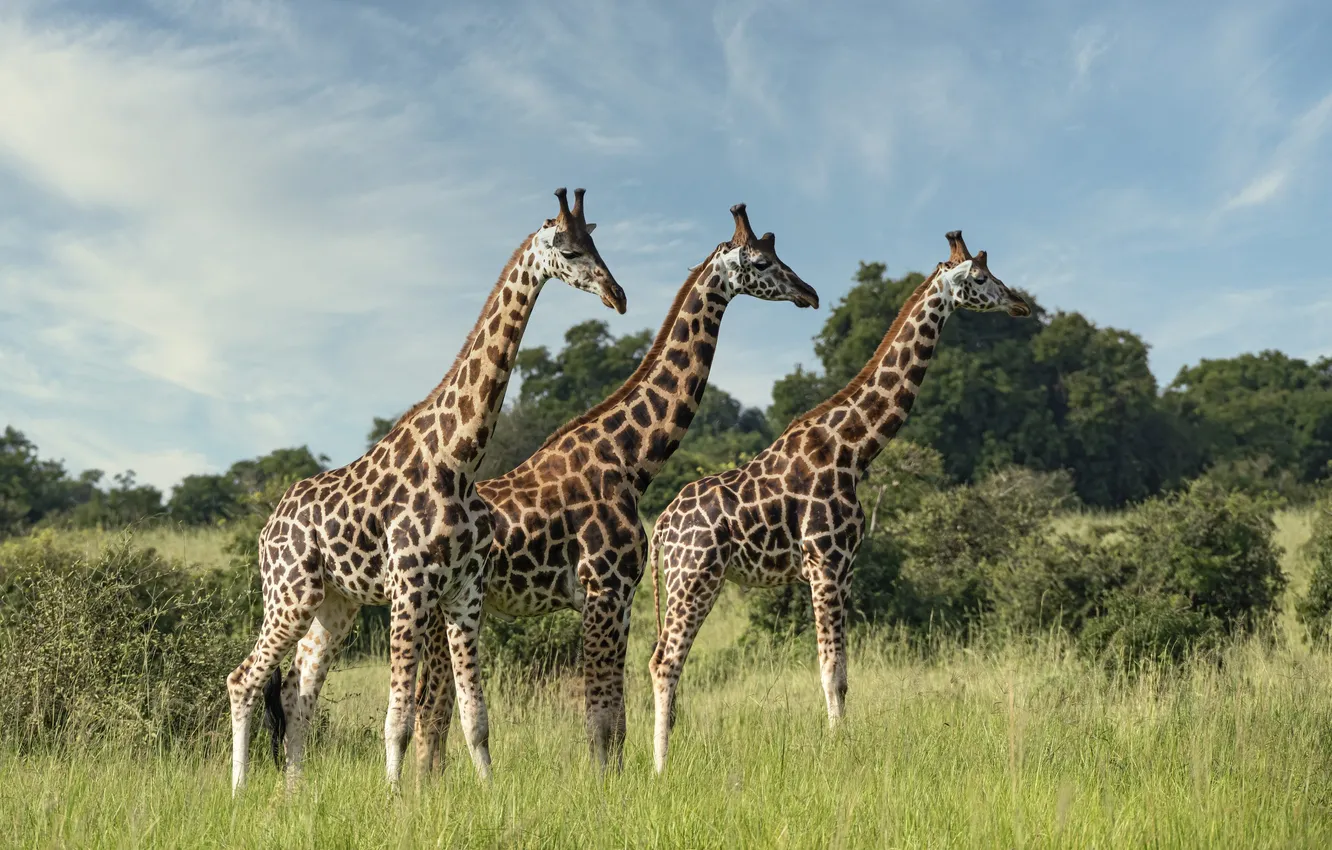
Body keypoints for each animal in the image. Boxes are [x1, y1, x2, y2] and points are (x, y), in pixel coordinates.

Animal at [227, 188, 626, 795]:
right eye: (568, 249)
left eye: (596, 243)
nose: (617, 295)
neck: (458, 459)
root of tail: (268, 525)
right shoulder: (410, 587)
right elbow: (399, 718)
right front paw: (395, 799)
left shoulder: (465, 593)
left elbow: (475, 716)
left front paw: (489, 793)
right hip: (288, 592)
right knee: (243, 679)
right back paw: (240, 790)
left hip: (334, 604)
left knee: (297, 690)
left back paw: (292, 793)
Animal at [411, 204, 820, 773]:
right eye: (762, 261)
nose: (810, 292)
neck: (631, 460)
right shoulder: (603, 591)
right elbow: (599, 721)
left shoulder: (621, 599)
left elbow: (617, 722)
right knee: (428, 715)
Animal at [647, 230, 1031, 772]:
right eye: (979, 277)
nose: (1019, 303)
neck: (854, 447)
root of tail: (661, 527)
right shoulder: (824, 563)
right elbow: (828, 669)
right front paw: (835, 755)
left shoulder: (847, 566)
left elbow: (845, 673)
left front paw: (843, 745)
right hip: (693, 576)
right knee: (664, 661)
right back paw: (660, 770)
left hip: (697, 579)